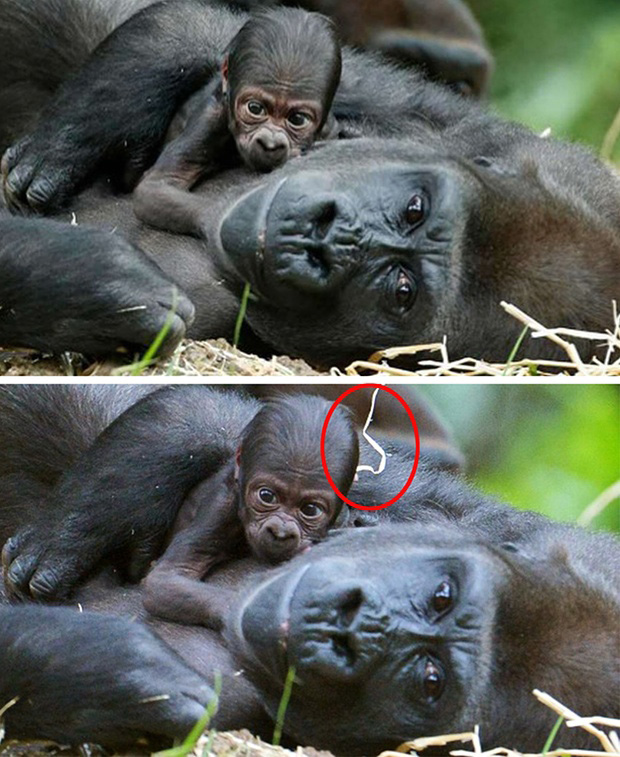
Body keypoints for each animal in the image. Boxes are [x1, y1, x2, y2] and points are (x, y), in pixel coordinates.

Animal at [133, 7, 342, 236]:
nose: (270, 143)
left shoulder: (329, 127)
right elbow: (157, 185)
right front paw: (230, 220)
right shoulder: (209, 121)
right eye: (255, 108)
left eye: (297, 119)